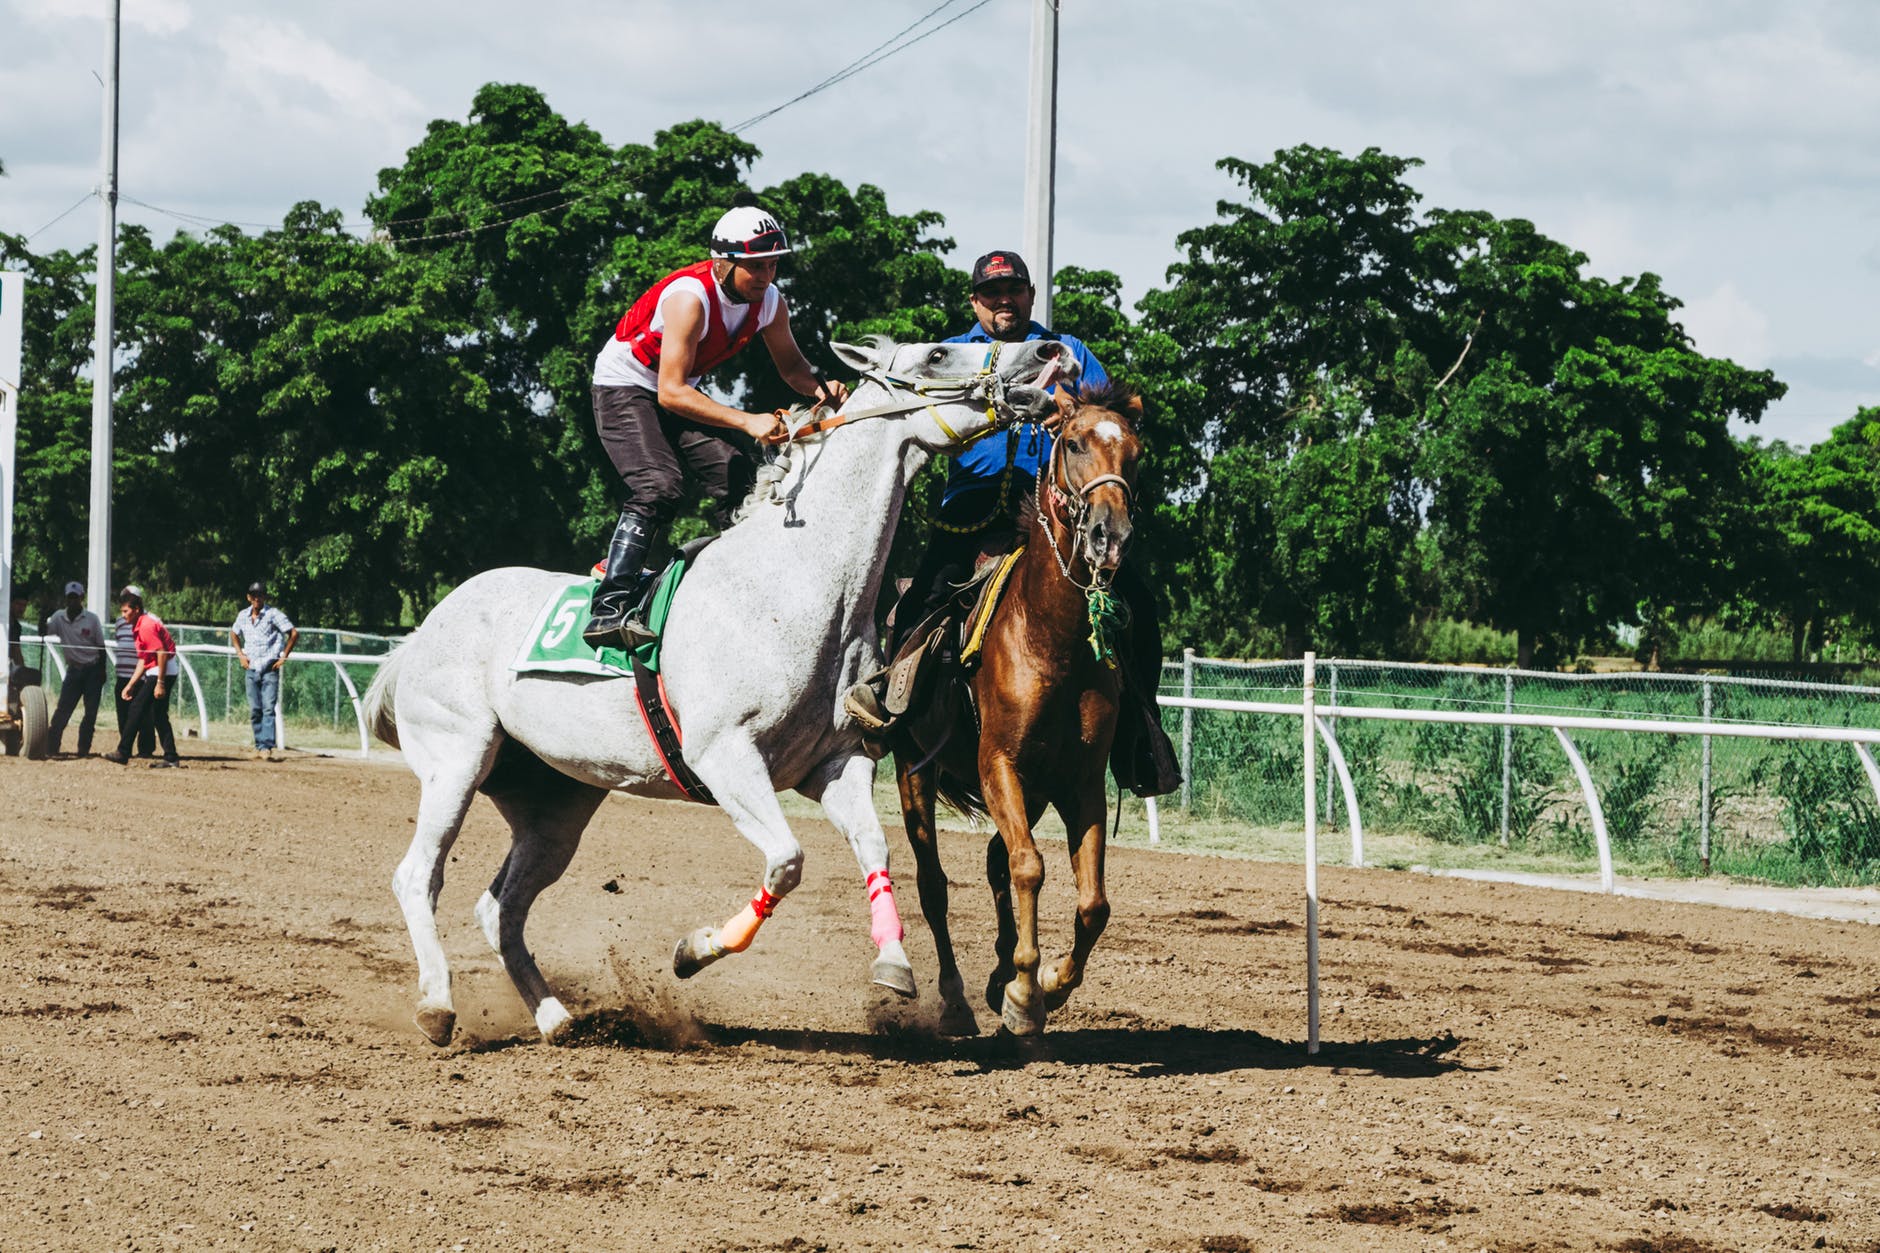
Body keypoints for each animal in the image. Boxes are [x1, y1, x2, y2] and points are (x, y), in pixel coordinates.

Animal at [364, 334, 1075, 1046]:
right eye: (937, 355)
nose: (1046, 352)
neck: (795, 585)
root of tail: (422, 631)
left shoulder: (837, 761)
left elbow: (874, 848)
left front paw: (894, 965)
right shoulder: (724, 755)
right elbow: (787, 859)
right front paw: (694, 950)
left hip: (554, 800)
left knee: (499, 907)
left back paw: (554, 1016)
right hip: (457, 759)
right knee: (417, 876)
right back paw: (437, 1005)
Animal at [894, 383, 1143, 1030]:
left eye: (1135, 452)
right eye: (1074, 442)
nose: (1110, 534)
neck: (1052, 640)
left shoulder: (1080, 781)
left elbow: (1093, 902)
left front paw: (1047, 982)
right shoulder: (998, 764)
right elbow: (1030, 866)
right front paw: (1026, 993)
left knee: (995, 859)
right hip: (914, 769)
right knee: (935, 884)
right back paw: (957, 997)